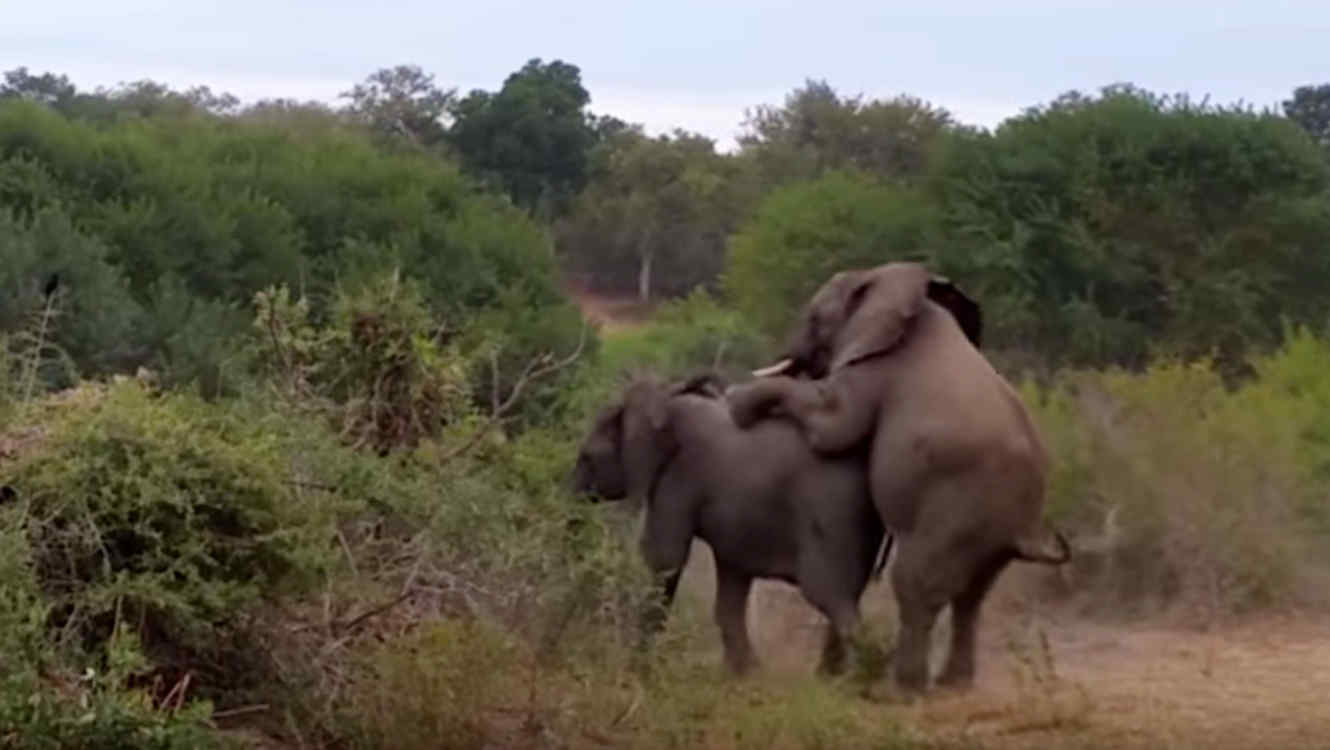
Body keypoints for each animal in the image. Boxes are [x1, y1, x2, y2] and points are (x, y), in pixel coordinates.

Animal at [570, 372, 889, 676]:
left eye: (586, 457)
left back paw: (859, 677)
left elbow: (664, 558)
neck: (667, 398)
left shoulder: (679, 478)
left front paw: (638, 664)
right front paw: (745, 673)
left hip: (833, 521)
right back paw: (831, 677)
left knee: (831, 597)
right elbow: (731, 581)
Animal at [725, 261, 1070, 693]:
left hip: (957, 513)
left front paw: (736, 401)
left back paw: (902, 690)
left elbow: (833, 426)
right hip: (992, 536)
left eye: (816, 318)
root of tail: (1024, 532)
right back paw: (952, 685)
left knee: (916, 584)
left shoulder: (875, 368)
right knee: (972, 596)